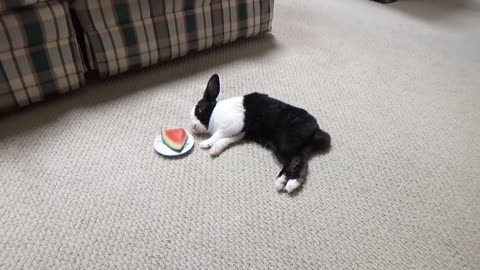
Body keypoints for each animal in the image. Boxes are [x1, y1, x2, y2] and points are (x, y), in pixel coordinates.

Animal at [190, 73, 330, 192]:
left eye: (201, 108)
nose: (193, 126)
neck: (214, 113)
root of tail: (315, 130)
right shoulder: (239, 133)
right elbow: (225, 140)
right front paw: (215, 150)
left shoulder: (230, 126)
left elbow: (218, 135)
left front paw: (206, 143)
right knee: (302, 161)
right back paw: (289, 182)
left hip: (284, 143)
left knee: (296, 160)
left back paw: (285, 182)